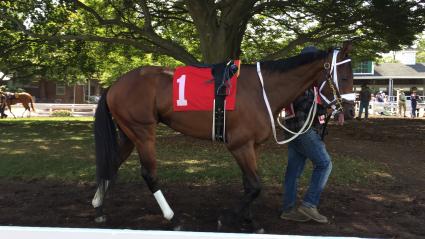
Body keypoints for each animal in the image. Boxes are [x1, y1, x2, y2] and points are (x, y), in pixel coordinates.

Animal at [93, 41, 354, 232]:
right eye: (344, 77)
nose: (350, 112)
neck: (261, 90)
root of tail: (114, 85)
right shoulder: (239, 145)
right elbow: (255, 186)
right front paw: (228, 219)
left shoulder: (252, 146)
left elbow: (249, 183)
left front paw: (251, 221)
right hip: (143, 132)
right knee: (149, 174)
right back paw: (173, 218)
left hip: (128, 134)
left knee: (111, 165)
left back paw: (98, 209)